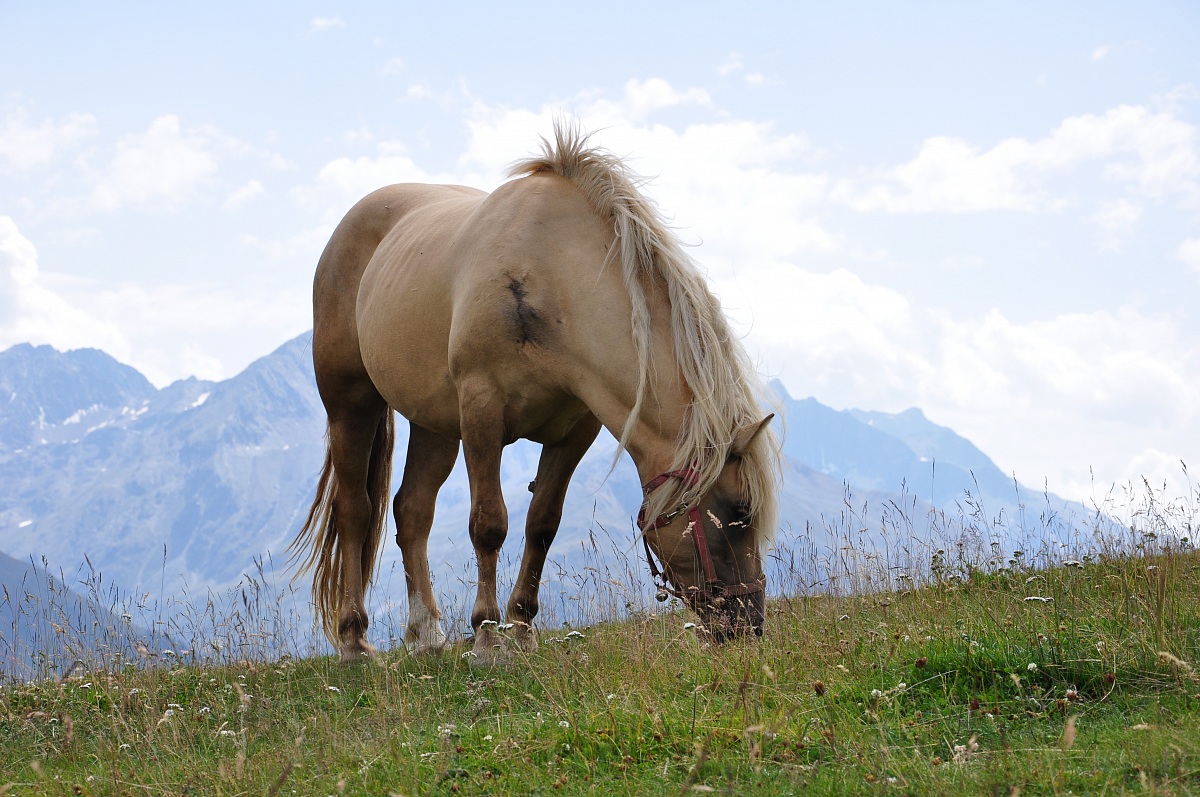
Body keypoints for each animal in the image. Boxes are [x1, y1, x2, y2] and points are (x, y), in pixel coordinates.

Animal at [290, 123, 781, 664]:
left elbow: (542, 524)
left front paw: (521, 628)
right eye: (737, 512)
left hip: (433, 423)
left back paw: (428, 634)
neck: (549, 282)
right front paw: (487, 636)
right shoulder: (482, 414)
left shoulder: (574, 431)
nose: (750, 625)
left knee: (412, 510)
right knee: (355, 510)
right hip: (350, 403)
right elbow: (489, 525)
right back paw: (355, 639)